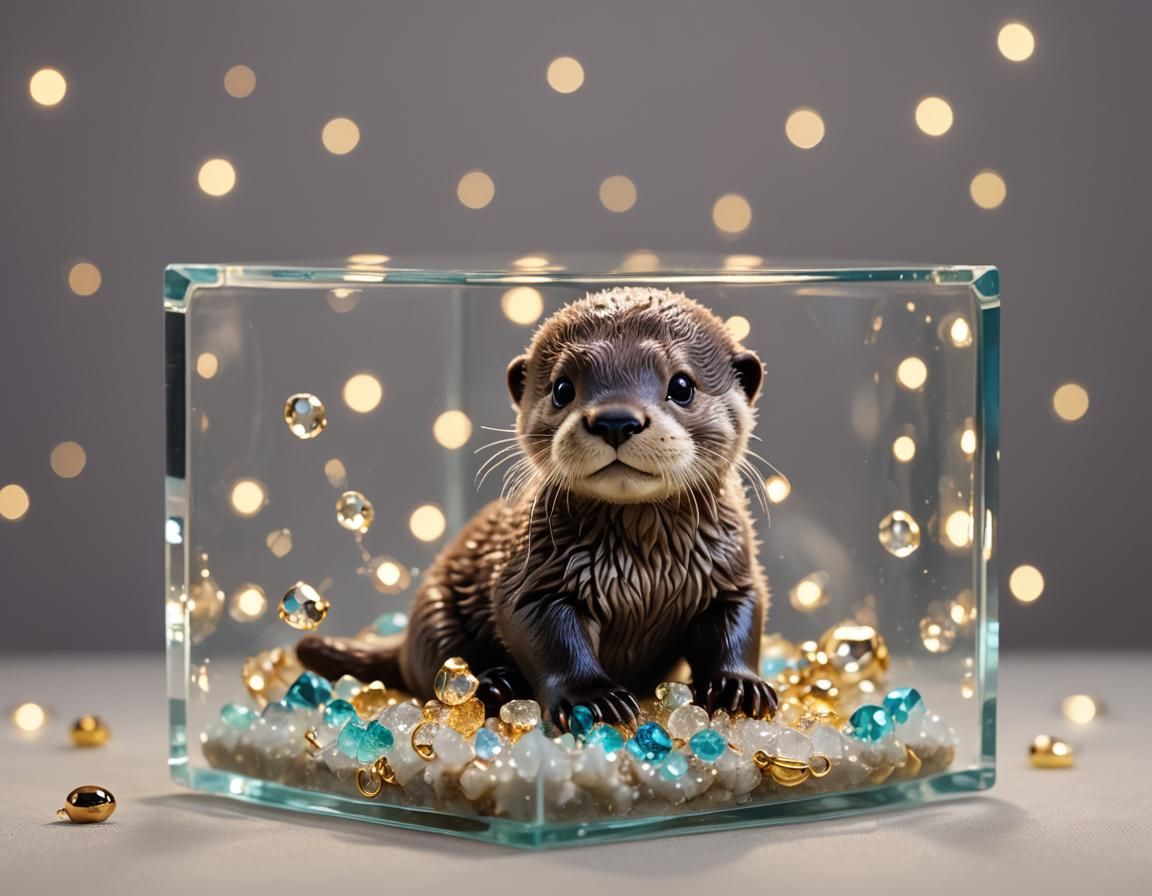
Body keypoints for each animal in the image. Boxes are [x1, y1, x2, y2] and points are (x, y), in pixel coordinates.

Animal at [297, 287, 777, 730]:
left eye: (682, 385)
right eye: (563, 388)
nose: (615, 420)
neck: (647, 567)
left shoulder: (732, 572)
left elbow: (737, 624)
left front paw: (739, 686)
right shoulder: (535, 573)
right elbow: (551, 637)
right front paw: (593, 698)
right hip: (435, 609)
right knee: (434, 665)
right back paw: (494, 684)